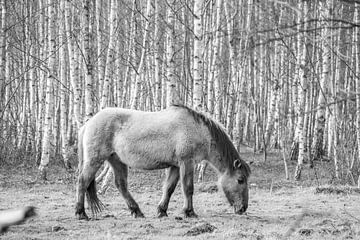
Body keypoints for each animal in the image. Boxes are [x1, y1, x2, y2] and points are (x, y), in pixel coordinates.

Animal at [75, 104, 250, 220]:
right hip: (95, 160)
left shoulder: (175, 166)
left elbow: (169, 189)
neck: (197, 129)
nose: (243, 208)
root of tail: (88, 123)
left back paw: (137, 211)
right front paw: (189, 212)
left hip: (117, 160)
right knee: (83, 181)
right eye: (240, 180)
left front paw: (162, 211)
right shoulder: (186, 162)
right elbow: (188, 188)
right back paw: (81, 213)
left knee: (121, 185)